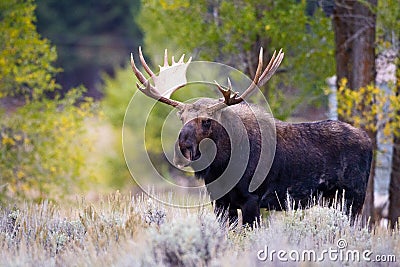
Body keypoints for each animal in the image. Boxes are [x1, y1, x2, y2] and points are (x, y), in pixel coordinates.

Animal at [130, 47, 374, 226]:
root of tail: (369, 141)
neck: (222, 166)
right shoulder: (220, 202)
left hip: (354, 198)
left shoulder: (252, 200)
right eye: (181, 118)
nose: (182, 150)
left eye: (207, 120)